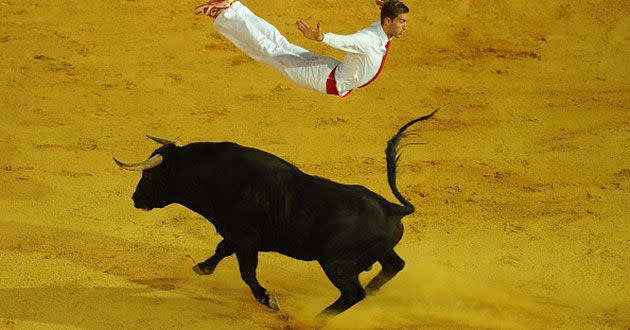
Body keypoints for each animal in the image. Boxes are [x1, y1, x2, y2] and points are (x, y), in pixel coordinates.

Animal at [115, 109, 440, 318]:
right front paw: (202, 267)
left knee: (351, 294)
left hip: (335, 263)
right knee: (393, 266)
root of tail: (395, 209)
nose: (135, 199)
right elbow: (221, 249)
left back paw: (318, 319)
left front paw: (269, 300)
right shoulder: (236, 233)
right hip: (378, 253)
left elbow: (247, 272)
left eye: (149, 176)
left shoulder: (246, 238)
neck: (211, 175)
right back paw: (372, 292)